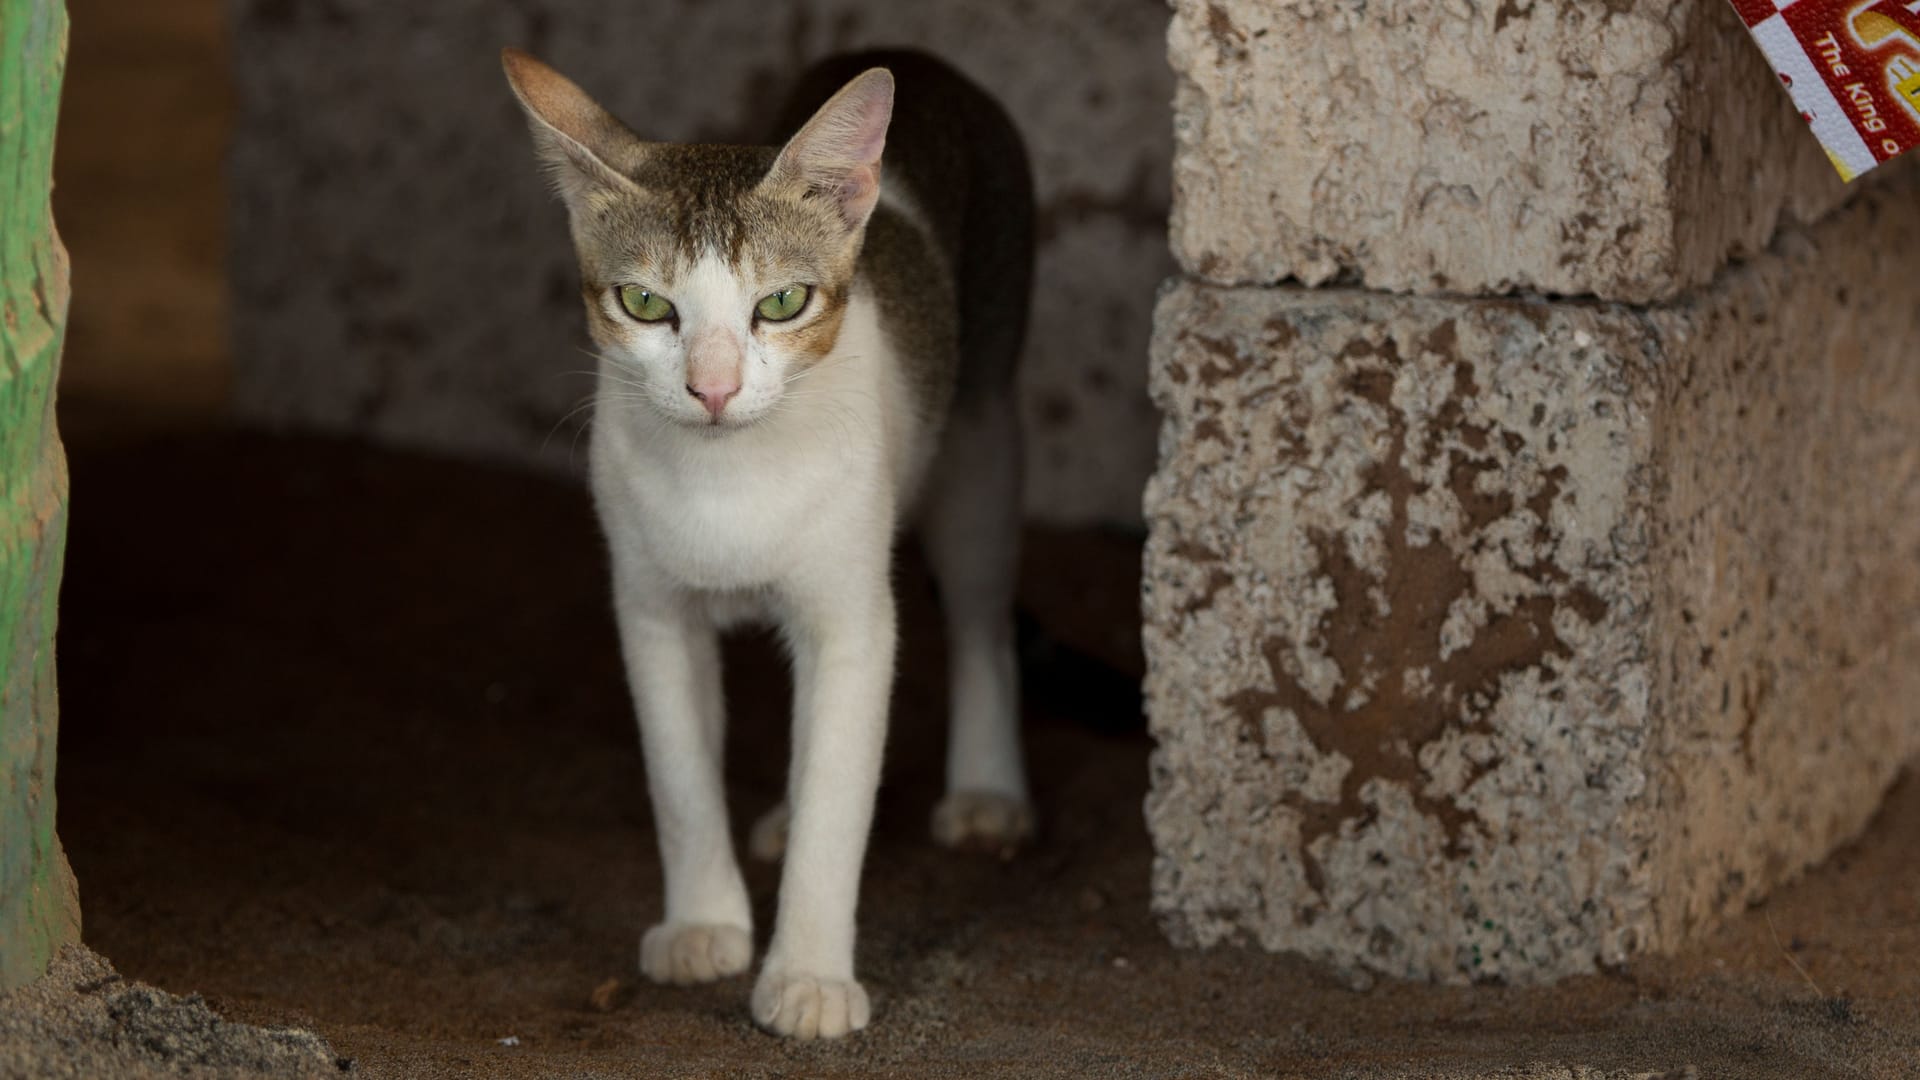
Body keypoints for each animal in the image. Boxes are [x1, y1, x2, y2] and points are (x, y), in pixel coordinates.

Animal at [495, 48, 1036, 1037]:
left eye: (781, 302)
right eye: (645, 302)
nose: (712, 387)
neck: (727, 479)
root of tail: (924, 58)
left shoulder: (853, 620)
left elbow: (838, 798)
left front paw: (809, 976)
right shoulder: (651, 610)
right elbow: (679, 778)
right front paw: (704, 923)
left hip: (983, 425)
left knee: (983, 619)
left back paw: (987, 790)